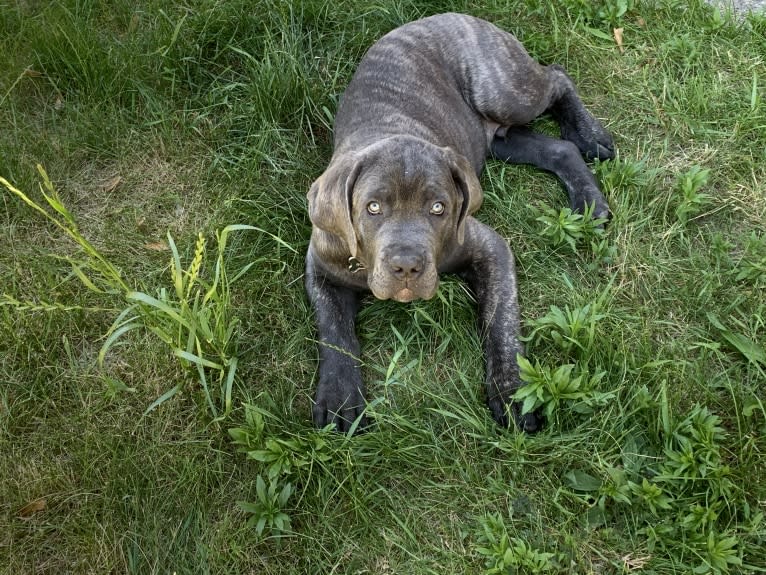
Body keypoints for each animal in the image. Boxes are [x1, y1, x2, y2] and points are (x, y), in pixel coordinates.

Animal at [304, 12, 616, 432]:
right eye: (373, 207)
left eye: (439, 208)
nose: (406, 266)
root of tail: (459, 16)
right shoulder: (322, 268)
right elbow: (333, 330)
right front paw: (339, 397)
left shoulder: (490, 249)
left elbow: (500, 320)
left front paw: (512, 391)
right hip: (500, 139)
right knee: (558, 148)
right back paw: (588, 199)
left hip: (501, 91)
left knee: (557, 77)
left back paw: (590, 134)